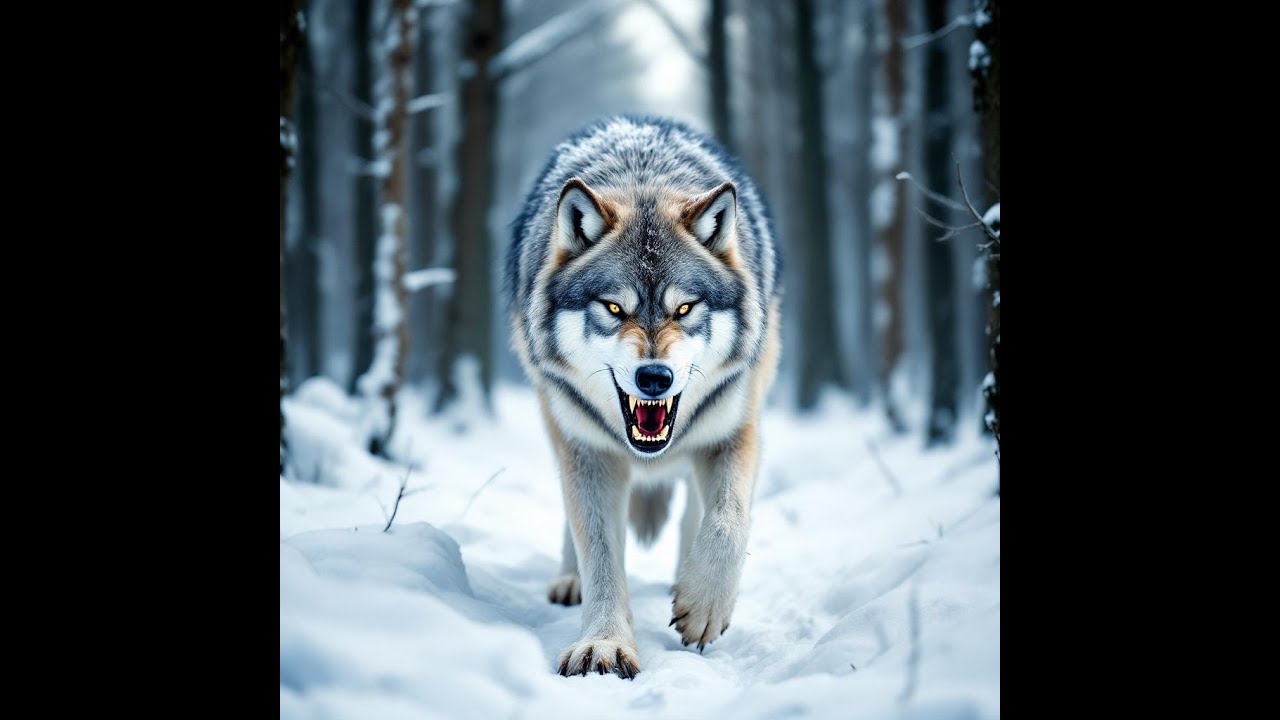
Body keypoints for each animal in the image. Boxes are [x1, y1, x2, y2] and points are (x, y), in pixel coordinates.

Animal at [507, 116, 781, 679]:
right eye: (614, 308)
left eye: (684, 309)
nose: (654, 376)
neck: (643, 179)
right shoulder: (587, 449)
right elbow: (600, 554)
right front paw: (604, 645)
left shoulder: (735, 431)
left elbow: (729, 521)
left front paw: (703, 605)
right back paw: (569, 579)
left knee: (697, 510)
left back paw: (683, 579)